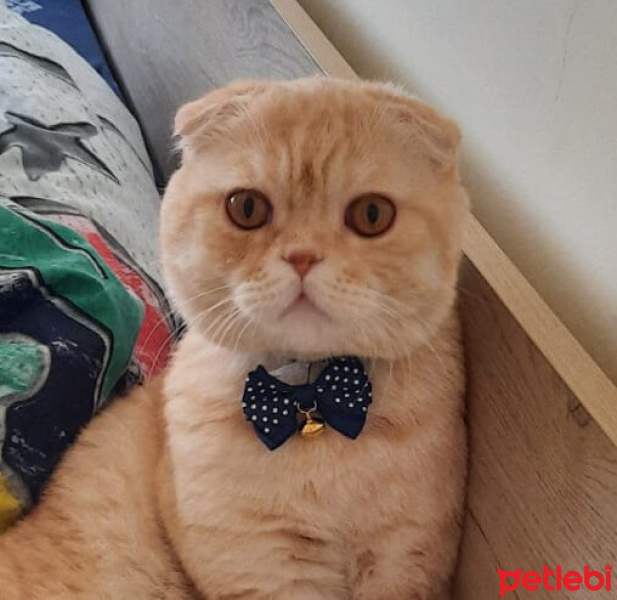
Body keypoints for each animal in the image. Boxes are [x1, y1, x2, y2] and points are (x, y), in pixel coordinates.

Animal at [0, 77, 470, 596]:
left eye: (372, 214)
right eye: (246, 208)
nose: (303, 257)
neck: (312, 401)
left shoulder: (404, 562)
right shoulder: (267, 569)